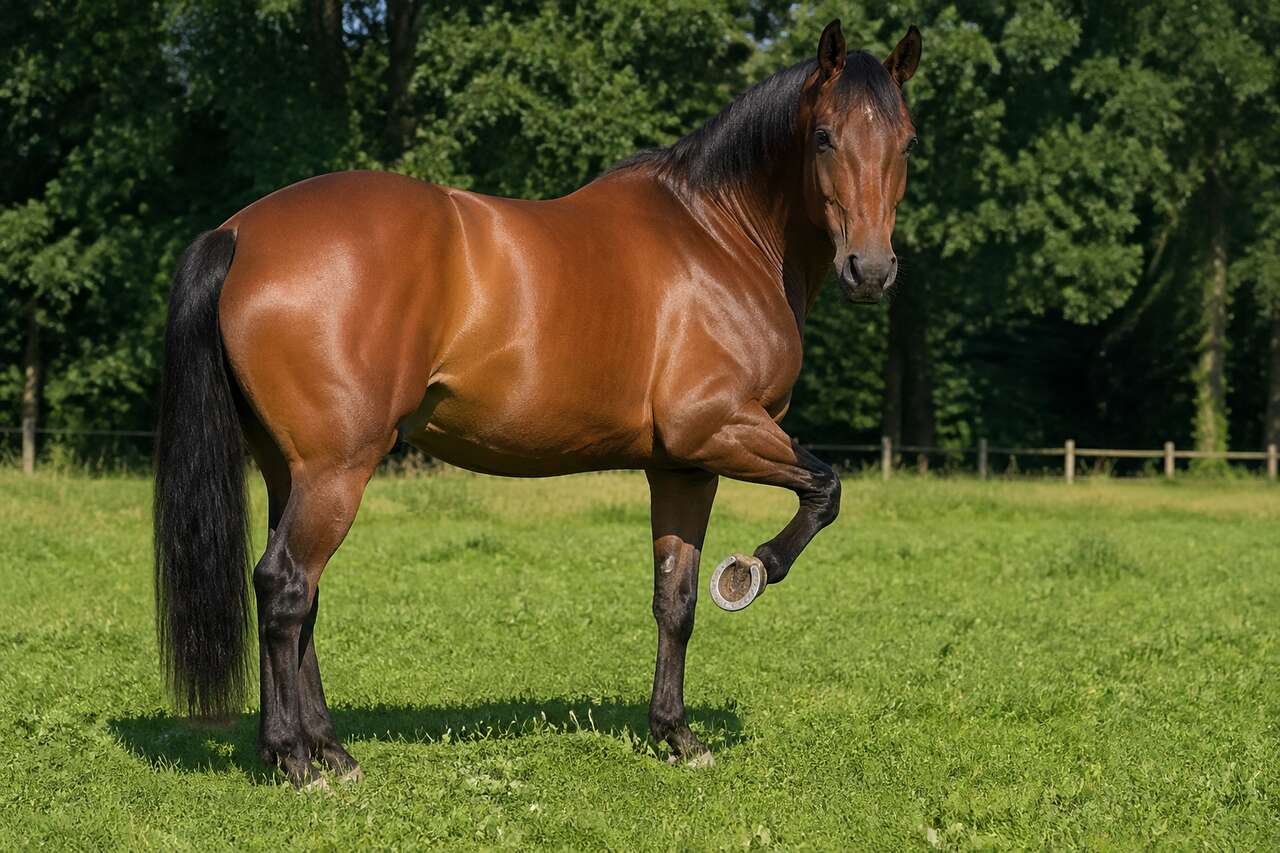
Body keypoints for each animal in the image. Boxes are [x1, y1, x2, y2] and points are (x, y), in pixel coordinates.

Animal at [153, 20, 921, 788]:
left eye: (908, 140)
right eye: (823, 136)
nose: (872, 270)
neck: (719, 237)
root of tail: (239, 233)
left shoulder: (683, 466)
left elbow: (674, 601)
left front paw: (675, 733)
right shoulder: (719, 430)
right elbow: (824, 489)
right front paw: (751, 570)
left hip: (292, 472)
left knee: (298, 596)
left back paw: (327, 751)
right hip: (335, 471)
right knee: (286, 587)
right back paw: (296, 759)